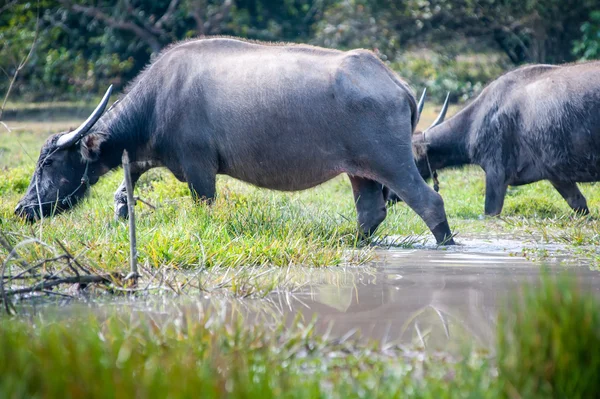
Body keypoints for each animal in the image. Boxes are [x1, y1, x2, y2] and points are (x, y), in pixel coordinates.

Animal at [15, 36, 454, 244]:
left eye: (49, 163)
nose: (23, 209)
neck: (156, 103)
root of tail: (395, 82)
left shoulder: (199, 169)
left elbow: (204, 206)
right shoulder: (139, 160)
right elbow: (123, 195)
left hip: (391, 162)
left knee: (429, 202)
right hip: (360, 171)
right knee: (370, 213)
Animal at [412, 63, 600, 217]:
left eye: (412, 159)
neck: (475, 121)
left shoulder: (496, 173)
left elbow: (490, 211)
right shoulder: (557, 176)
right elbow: (579, 204)